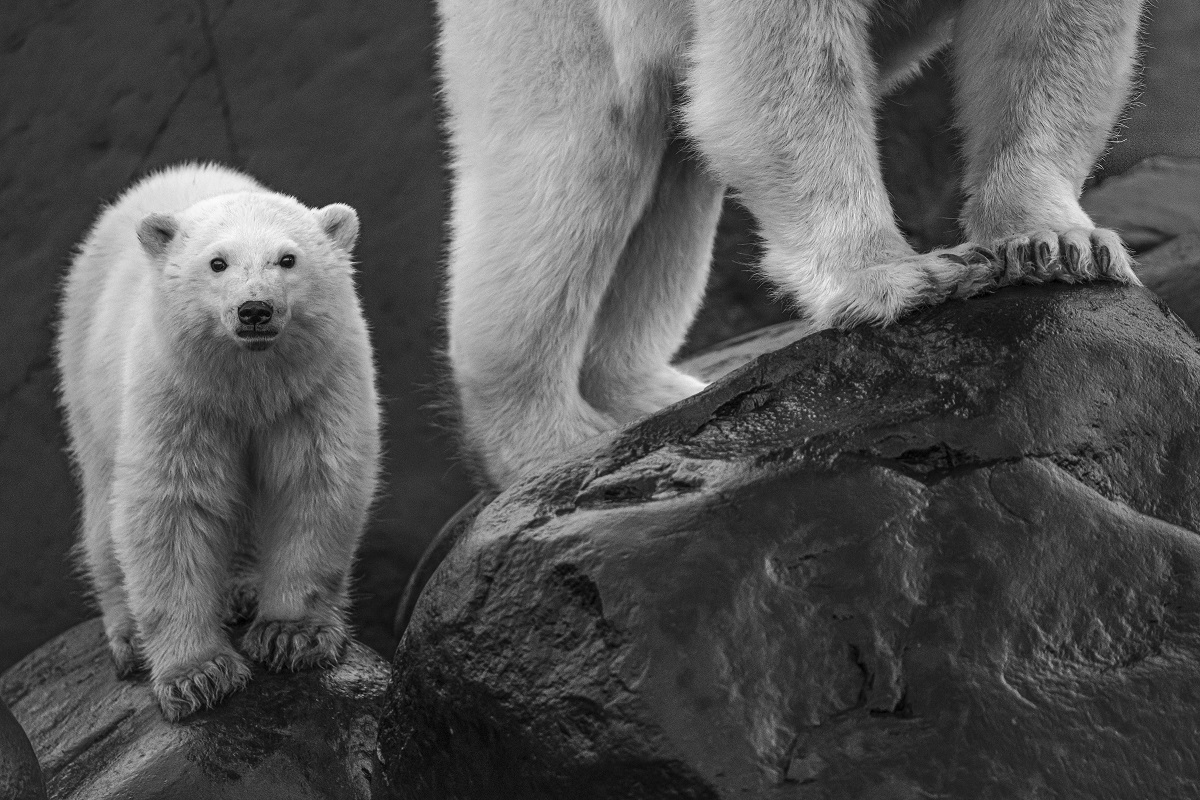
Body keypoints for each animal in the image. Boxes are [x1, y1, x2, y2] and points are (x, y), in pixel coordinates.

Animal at [439, 0, 1142, 489]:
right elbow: (791, 55)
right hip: (559, 25)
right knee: (574, 161)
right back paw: (546, 442)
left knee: (668, 188)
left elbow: (1052, 31)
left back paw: (648, 394)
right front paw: (904, 277)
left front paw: (1056, 244)